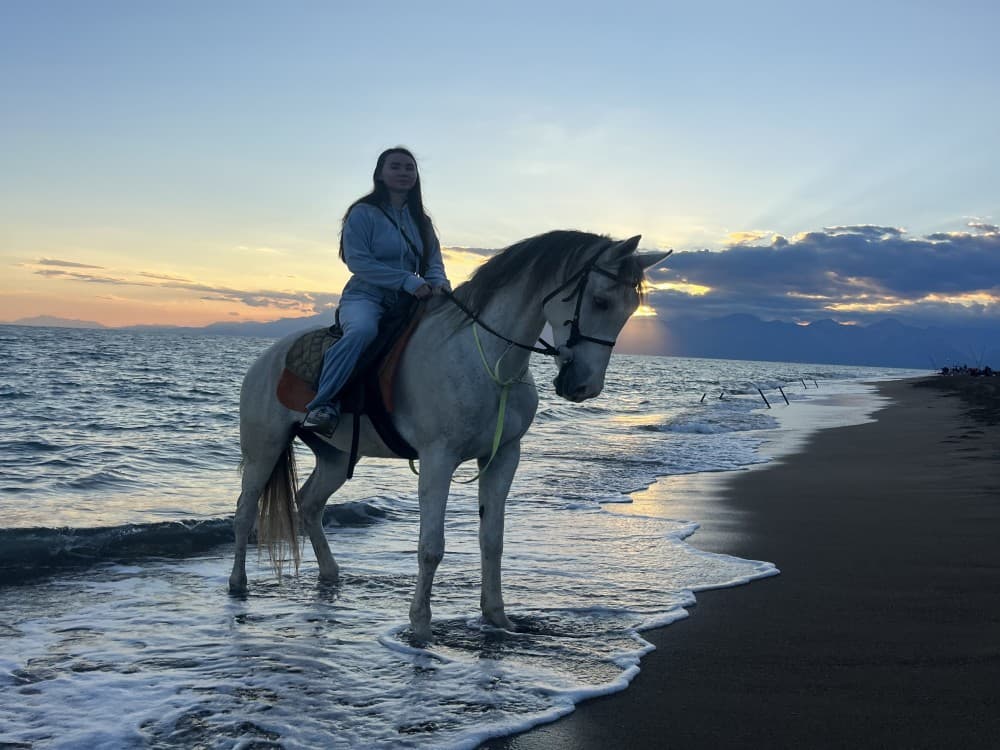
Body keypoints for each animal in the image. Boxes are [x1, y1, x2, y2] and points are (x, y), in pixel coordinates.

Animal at [228, 230, 671, 642]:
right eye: (600, 301)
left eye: (629, 309)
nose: (583, 387)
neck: (488, 358)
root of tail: (266, 359)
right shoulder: (437, 459)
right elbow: (431, 547)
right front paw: (421, 626)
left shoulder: (503, 457)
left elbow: (492, 539)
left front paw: (497, 618)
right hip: (264, 448)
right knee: (245, 512)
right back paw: (238, 584)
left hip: (335, 458)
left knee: (309, 503)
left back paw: (331, 575)